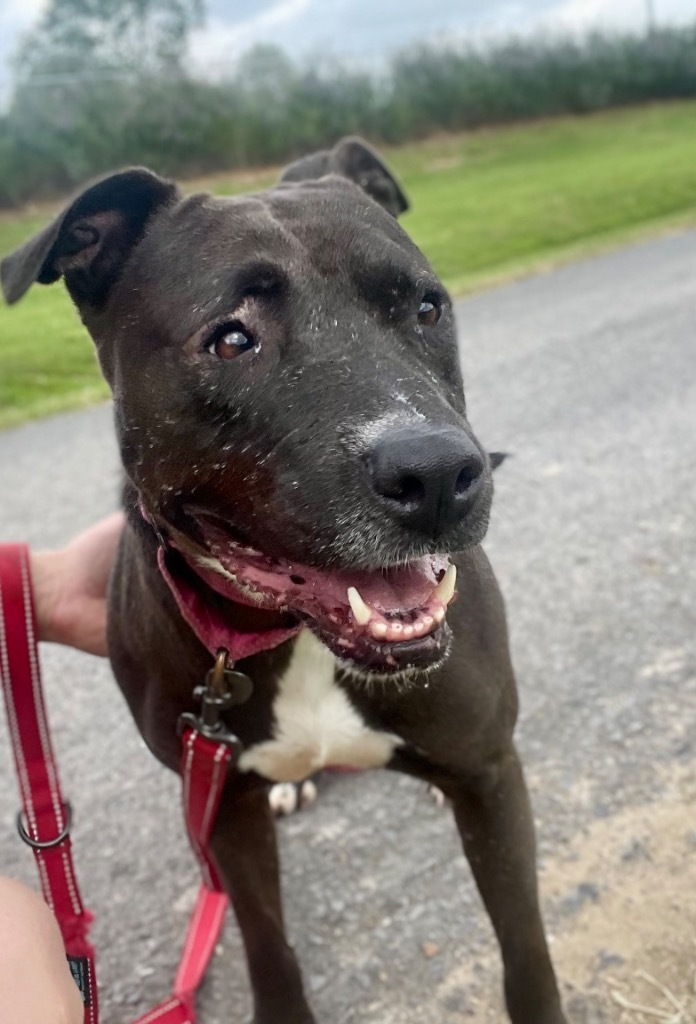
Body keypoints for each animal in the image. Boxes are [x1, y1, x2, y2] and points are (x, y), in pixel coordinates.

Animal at [2, 138, 569, 1024]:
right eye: (232, 340)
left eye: (426, 309)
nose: (438, 474)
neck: (293, 636)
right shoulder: (223, 810)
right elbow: (268, 946)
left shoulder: (489, 777)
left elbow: (526, 955)